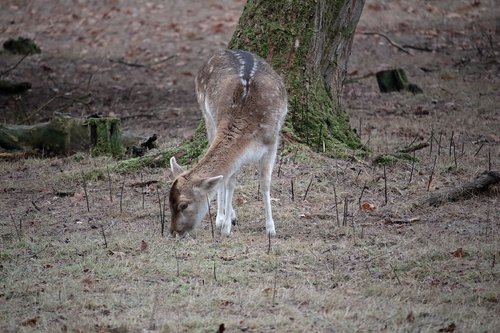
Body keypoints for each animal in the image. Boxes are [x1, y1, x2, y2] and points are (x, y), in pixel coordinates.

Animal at [168, 48, 288, 236]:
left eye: (184, 204)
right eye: (168, 202)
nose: (173, 232)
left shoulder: (272, 143)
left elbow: (265, 183)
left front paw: (270, 228)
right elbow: (229, 182)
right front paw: (225, 225)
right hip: (207, 116)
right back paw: (222, 217)